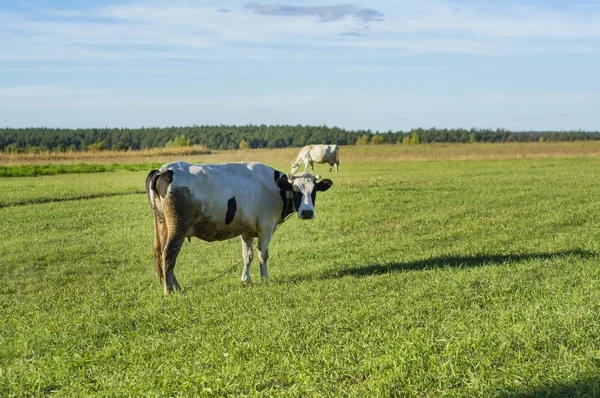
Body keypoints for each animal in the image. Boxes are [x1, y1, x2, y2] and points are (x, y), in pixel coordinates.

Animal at [145, 160, 332, 294]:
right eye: (296, 190)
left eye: (314, 191)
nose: (307, 212)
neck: (276, 186)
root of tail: (163, 170)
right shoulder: (266, 227)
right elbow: (262, 255)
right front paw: (265, 278)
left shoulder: (247, 230)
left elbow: (247, 256)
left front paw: (245, 279)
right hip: (178, 227)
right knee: (169, 254)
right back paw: (169, 290)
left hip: (163, 225)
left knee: (164, 254)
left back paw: (176, 287)